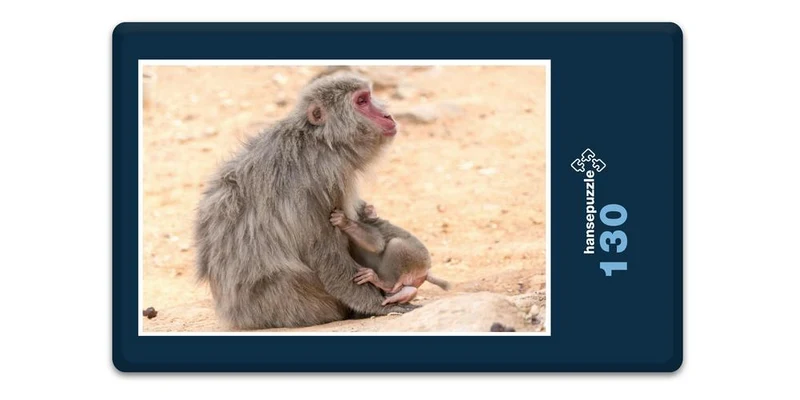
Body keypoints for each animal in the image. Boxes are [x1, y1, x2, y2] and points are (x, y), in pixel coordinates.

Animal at [193, 73, 418, 330]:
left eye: (369, 96)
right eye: (362, 101)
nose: (386, 115)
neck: (321, 139)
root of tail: (238, 316)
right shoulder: (325, 177)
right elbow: (324, 252)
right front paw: (377, 305)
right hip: (299, 305)